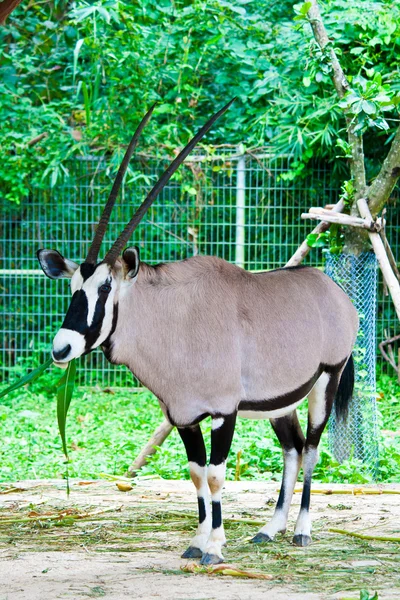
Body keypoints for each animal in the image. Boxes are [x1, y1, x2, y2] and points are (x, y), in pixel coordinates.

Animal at [37, 101, 360, 564]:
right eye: (72, 288)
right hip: (281, 402)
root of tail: (335, 294)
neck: (174, 320)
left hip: (327, 380)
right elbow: (195, 474)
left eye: (105, 288)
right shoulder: (183, 416)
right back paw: (271, 528)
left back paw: (301, 530)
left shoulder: (224, 412)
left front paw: (216, 549)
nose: (62, 348)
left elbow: (216, 474)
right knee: (293, 448)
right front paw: (197, 542)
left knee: (313, 447)